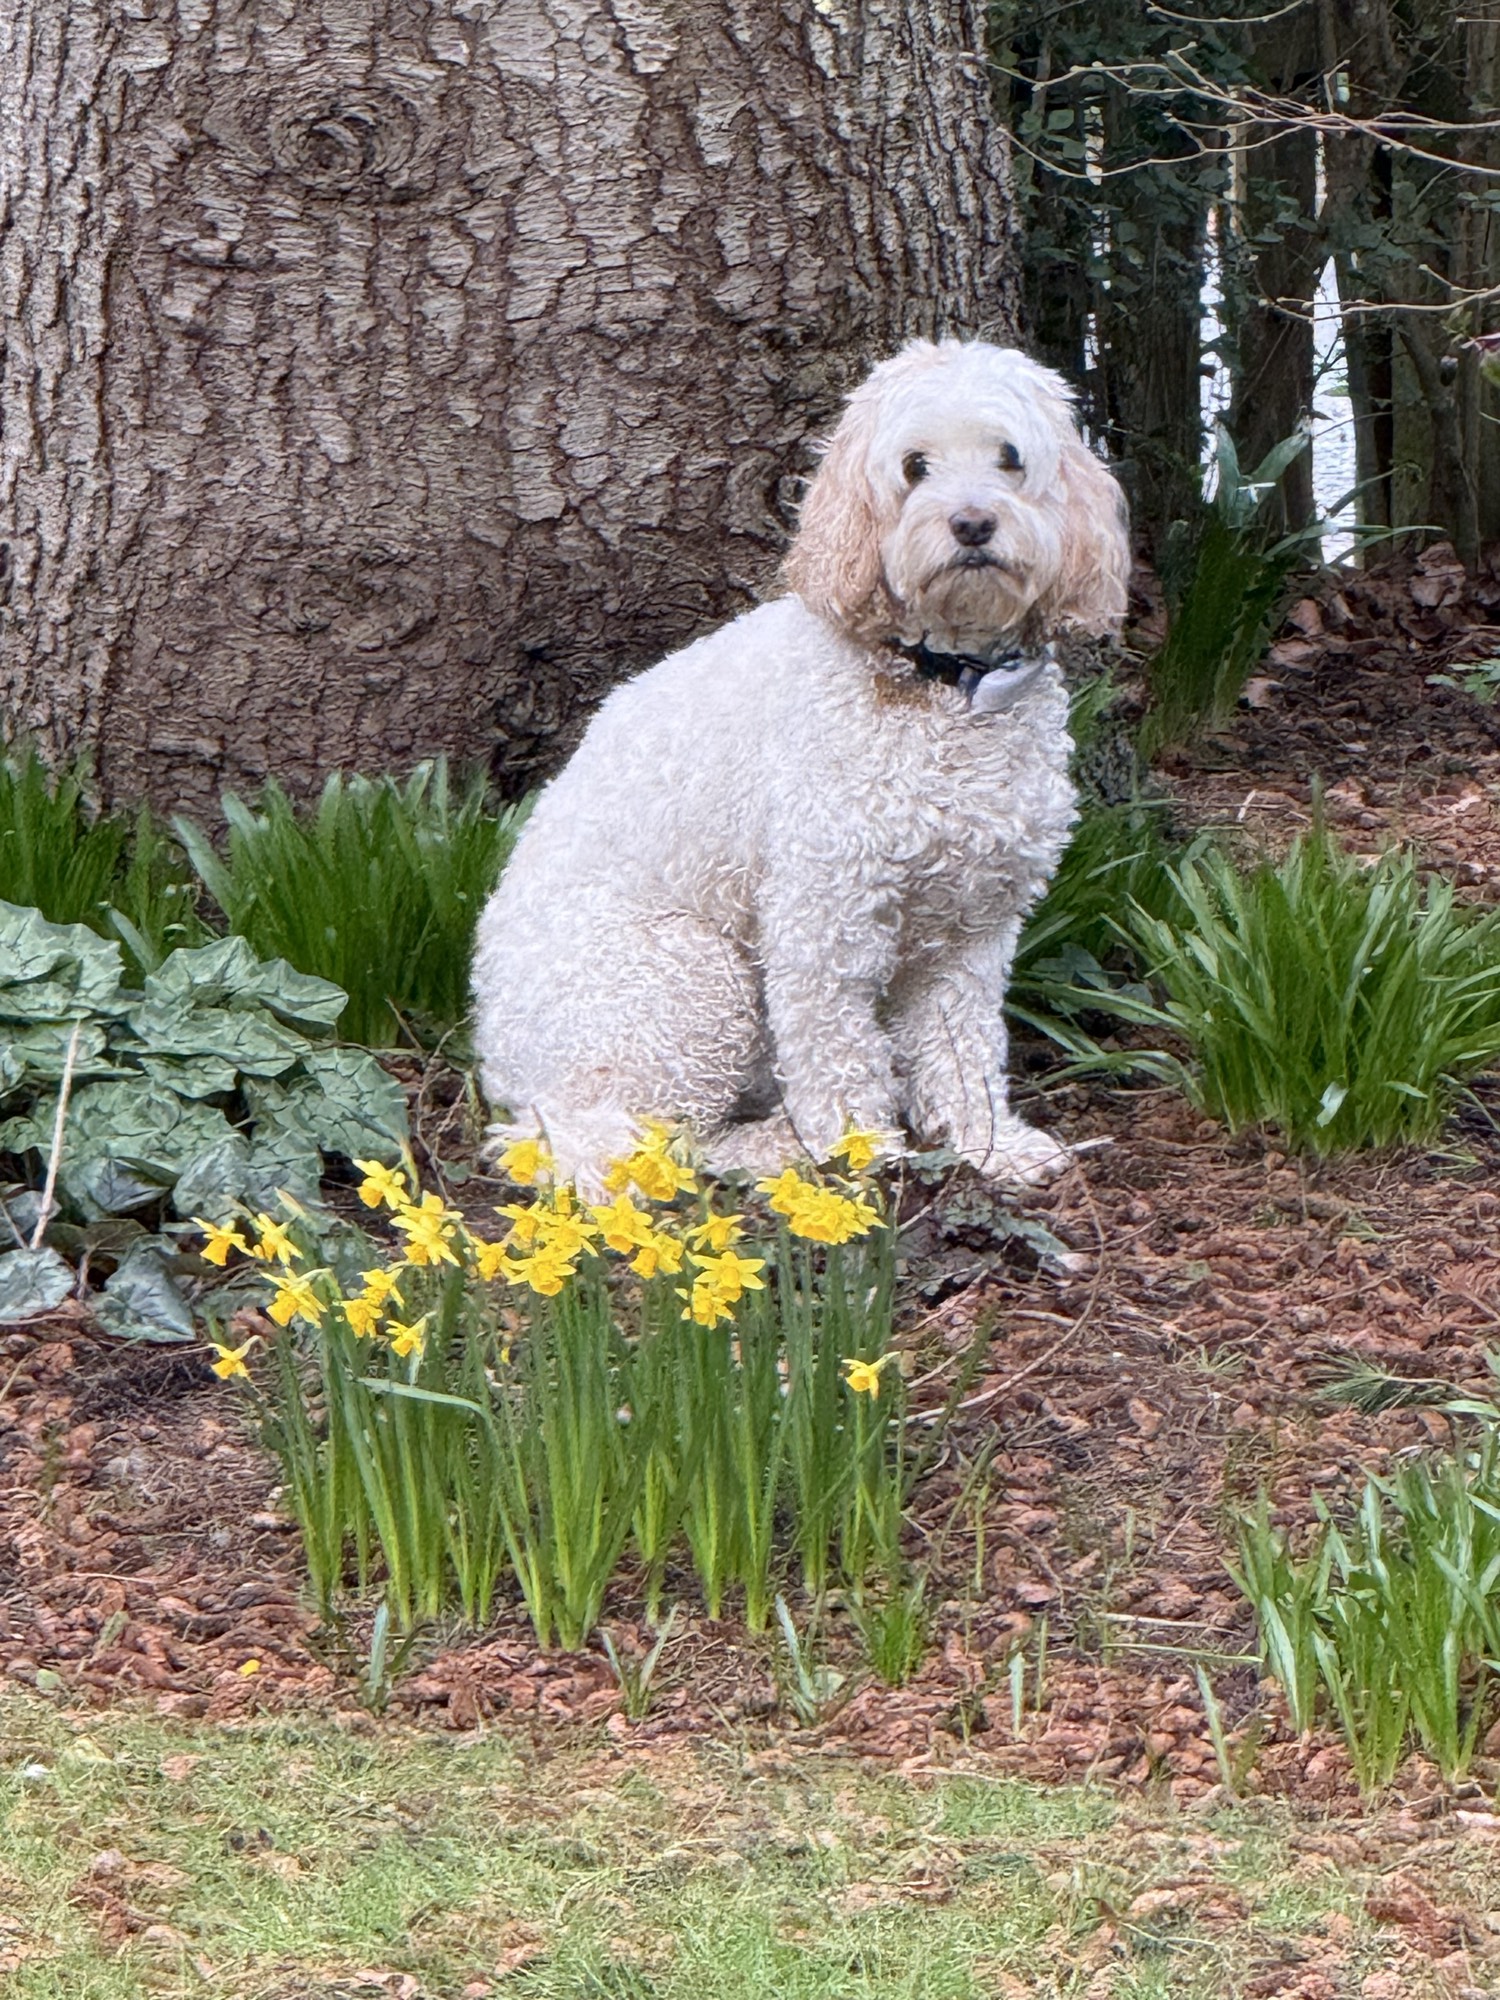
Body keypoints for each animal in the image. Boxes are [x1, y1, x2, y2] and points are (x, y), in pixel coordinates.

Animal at [471, 338, 1130, 1193]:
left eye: (1010, 458)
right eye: (915, 466)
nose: (972, 522)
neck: (941, 687)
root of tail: (499, 1056)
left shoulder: (973, 929)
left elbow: (961, 1044)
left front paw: (990, 1144)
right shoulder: (825, 914)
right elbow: (835, 1047)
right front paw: (858, 1153)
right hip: (689, 982)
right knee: (628, 1141)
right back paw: (773, 1151)